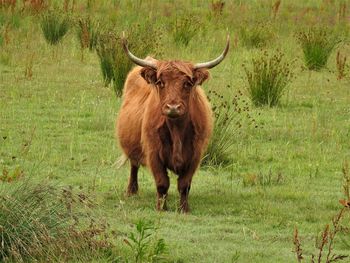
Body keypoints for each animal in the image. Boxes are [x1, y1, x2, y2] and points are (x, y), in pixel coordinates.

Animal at [116, 35, 228, 212]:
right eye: (161, 82)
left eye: (187, 83)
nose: (173, 107)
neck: (177, 131)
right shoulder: (153, 151)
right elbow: (162, 183)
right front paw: (161, 207)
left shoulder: (196, 154)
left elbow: (184, 184)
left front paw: (184, 209)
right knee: (134, 165)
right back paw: (131, 191)